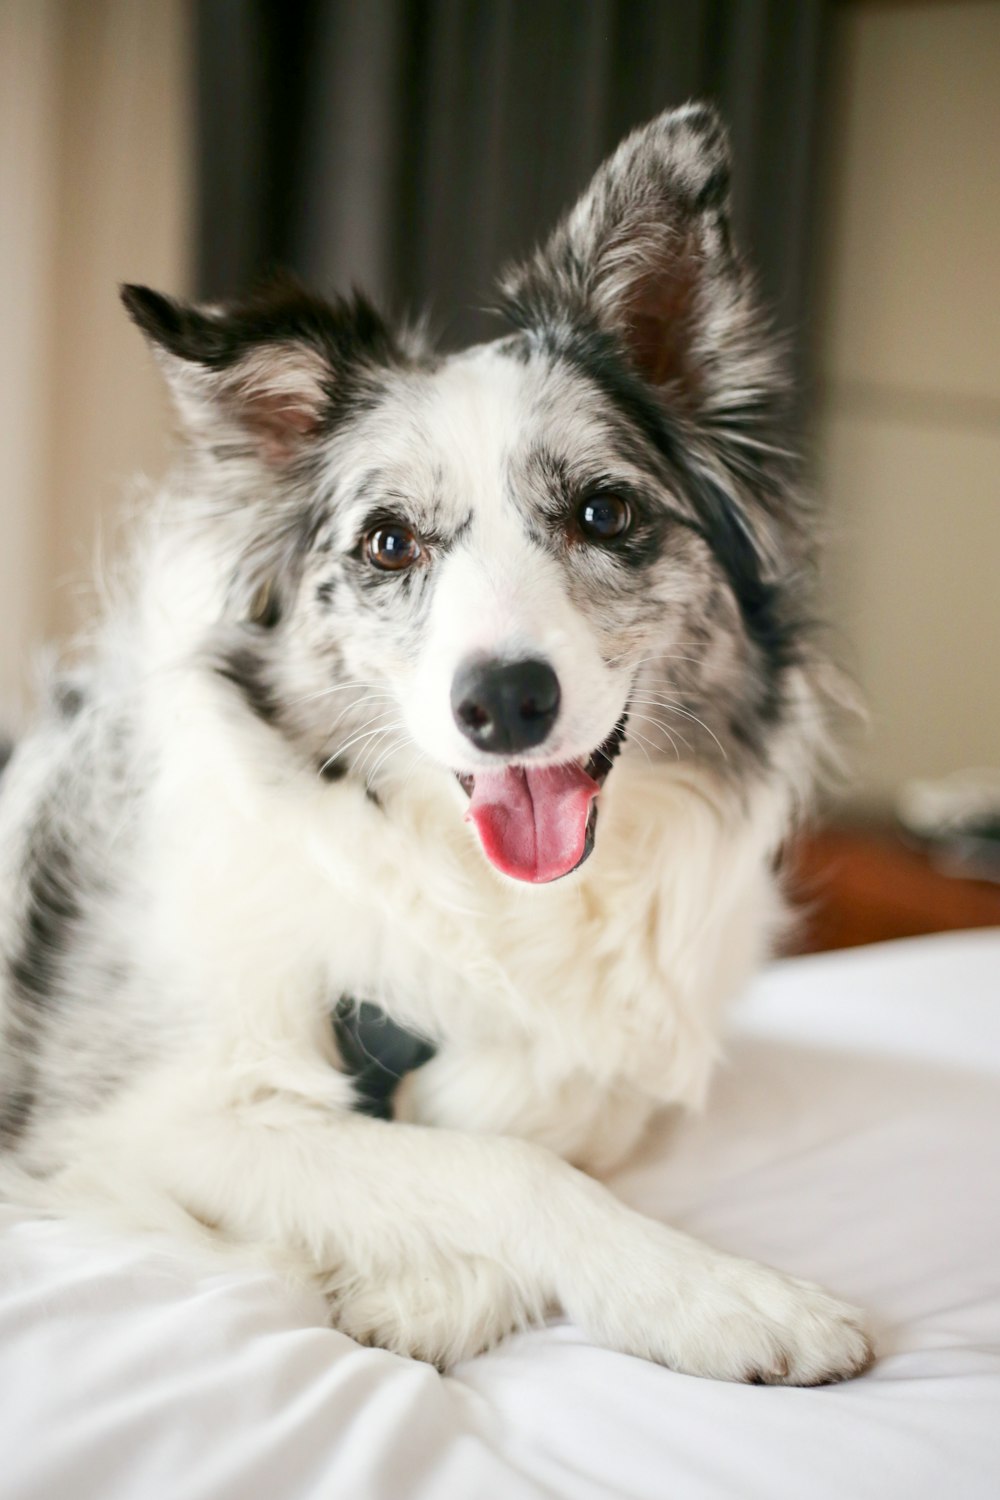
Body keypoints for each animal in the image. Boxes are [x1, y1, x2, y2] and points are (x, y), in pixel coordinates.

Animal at [0, 105, 869, 1380]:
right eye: (389, 541)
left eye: (604, 512)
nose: (503, 703)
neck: (491, 895)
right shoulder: (132, 1120)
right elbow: (504, 1167)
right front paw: (726, 1297)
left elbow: (523, 1120)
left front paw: (430, 1285)